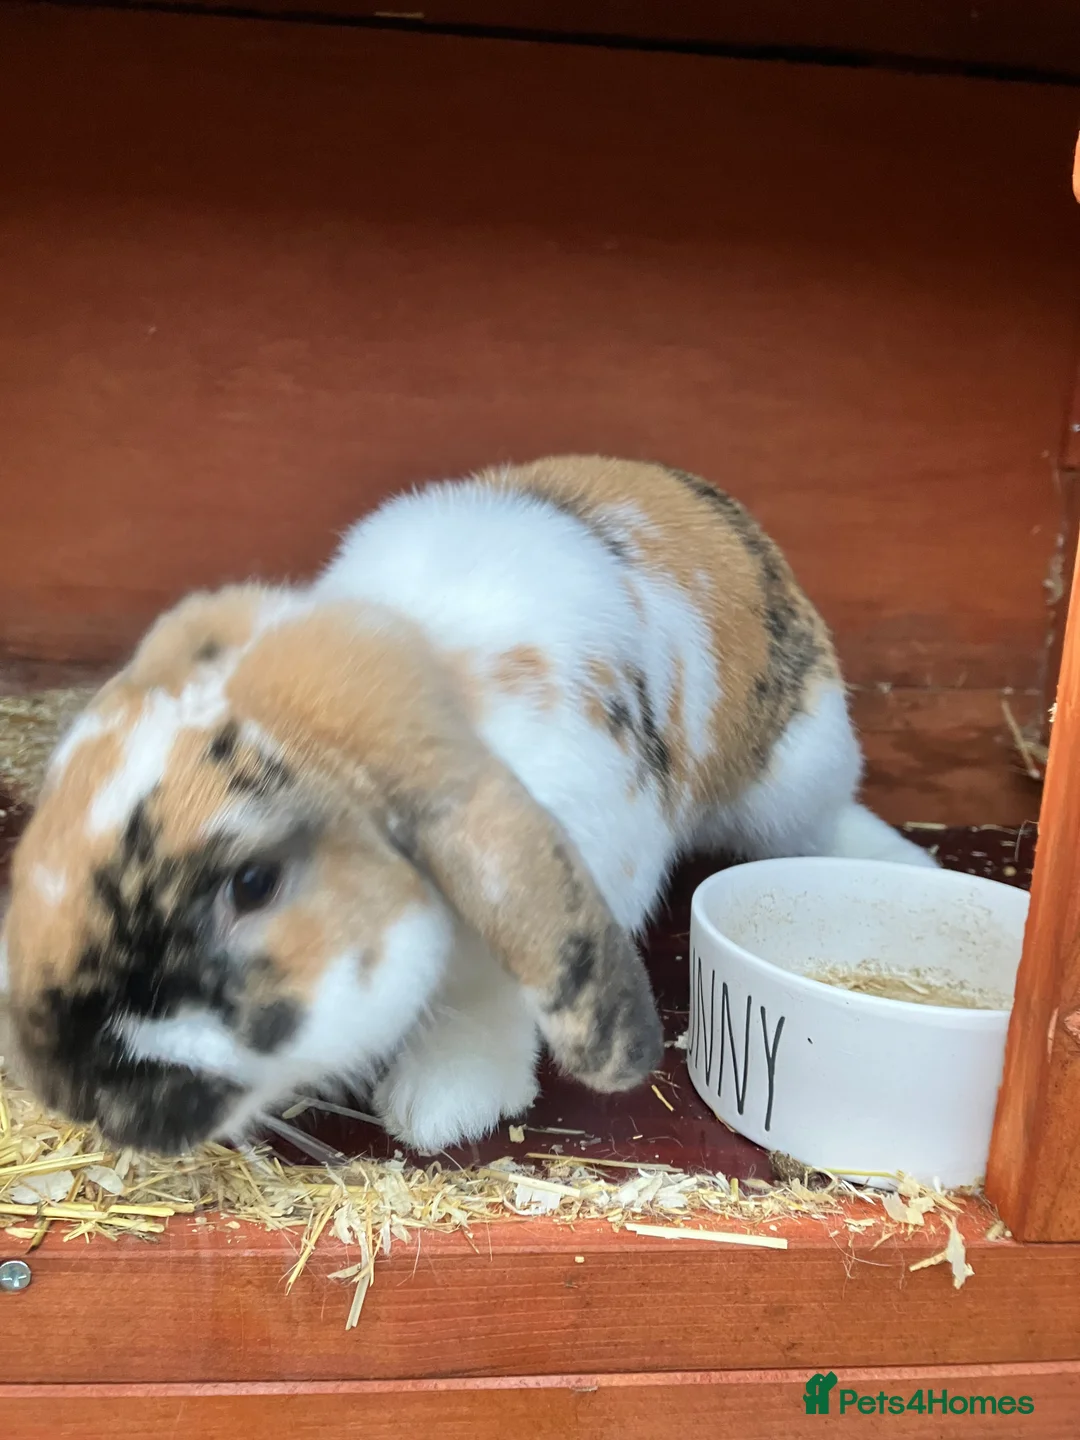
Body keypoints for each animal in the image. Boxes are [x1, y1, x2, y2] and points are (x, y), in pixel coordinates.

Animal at [0, 455, 934, 1156]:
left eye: (254, 883)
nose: (73, 1092)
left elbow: (494, 1004)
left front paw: (439, 1106)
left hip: (798, 766)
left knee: (824, 816)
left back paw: (903, 861)